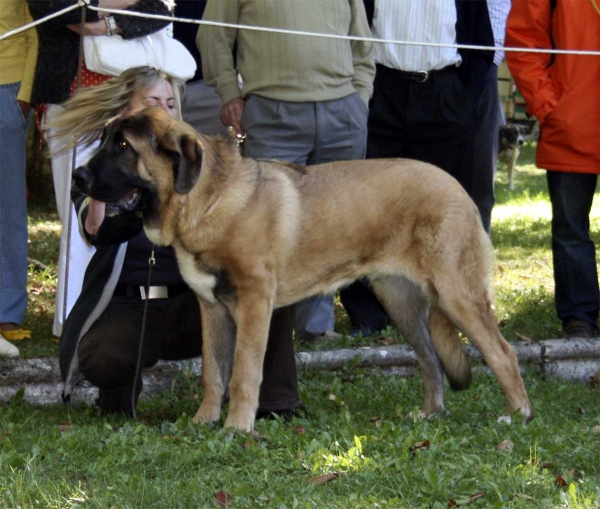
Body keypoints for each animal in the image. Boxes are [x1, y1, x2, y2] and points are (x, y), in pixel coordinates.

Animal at [72, 109, 532, 430]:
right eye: (105, 139)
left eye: (124, 146)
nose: (77, 176)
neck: (208, 200)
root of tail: (456, 186)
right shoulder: (212, 308)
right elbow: (213, 373)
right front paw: (205, 421)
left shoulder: (255, 304)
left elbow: (243, 374)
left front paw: (236, 428)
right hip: (400, 301)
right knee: (431, 360)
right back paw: (431, 414)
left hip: (457, 295)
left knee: (503, 353)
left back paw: (517, 415)